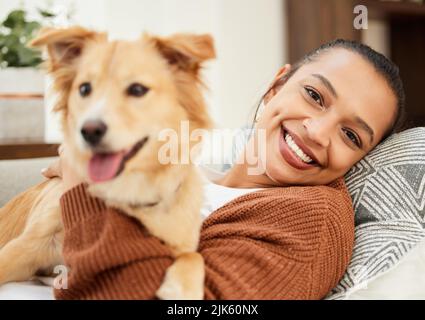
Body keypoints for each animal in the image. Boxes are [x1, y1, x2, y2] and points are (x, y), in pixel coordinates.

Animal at [0, 27, 214, 300]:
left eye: (137, 89)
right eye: (84, 89)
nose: (89, 130)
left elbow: (194, 256)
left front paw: (183, 289)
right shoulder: (26, 245)